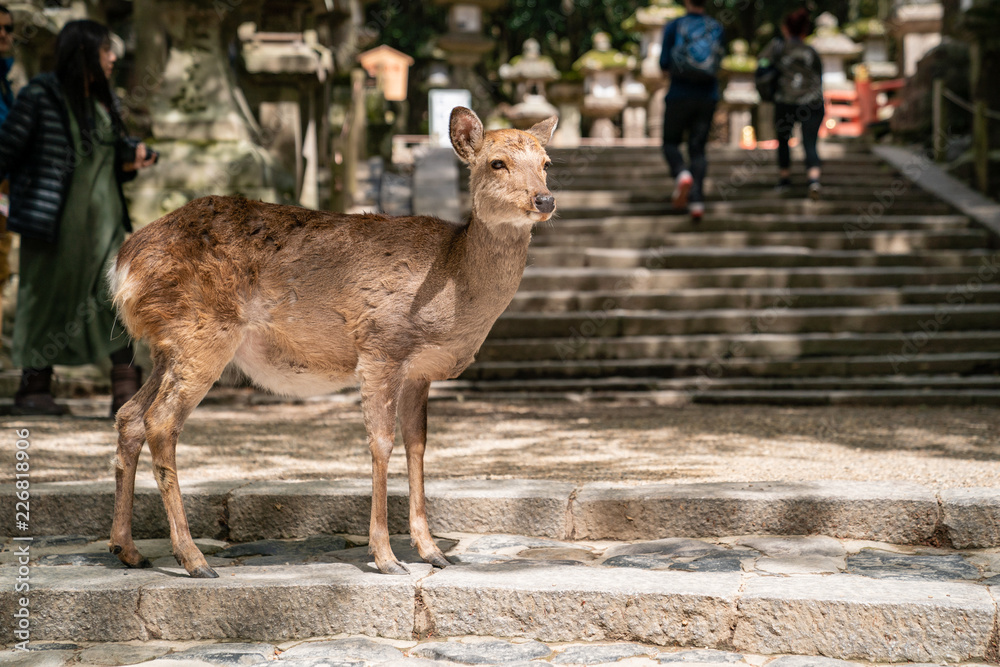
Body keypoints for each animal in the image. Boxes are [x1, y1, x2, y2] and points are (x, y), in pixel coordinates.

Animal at [105, 109, 560, 580]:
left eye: (547, 163)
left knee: (130, 416)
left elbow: (418, 444)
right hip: (203, 330)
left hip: (167, 344)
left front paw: (433, 551)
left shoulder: (420, 370)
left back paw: (128, 549)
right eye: (497, 162)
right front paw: (386, 557)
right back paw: (193, 559)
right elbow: (382, 442)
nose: (545, 200)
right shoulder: (381, 346)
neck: (452, 286)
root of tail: (122, 268)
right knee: (161, 421)